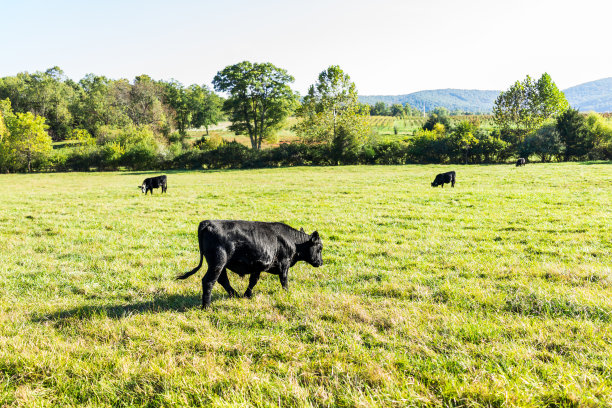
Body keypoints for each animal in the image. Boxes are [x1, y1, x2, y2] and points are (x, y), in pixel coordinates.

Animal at [178, 222, 326, 308]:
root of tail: (208, 223)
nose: (321, 262)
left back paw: (235, 295)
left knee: (222, 280)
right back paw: (206, 306)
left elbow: (253, 281)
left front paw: (247, 295)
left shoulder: (259, 266)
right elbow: (284, 281)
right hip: (218, 262)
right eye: (319, 248)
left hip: (220, 265)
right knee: (209, 281)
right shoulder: (284, 264)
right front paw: (287, 293)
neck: (292, 241)